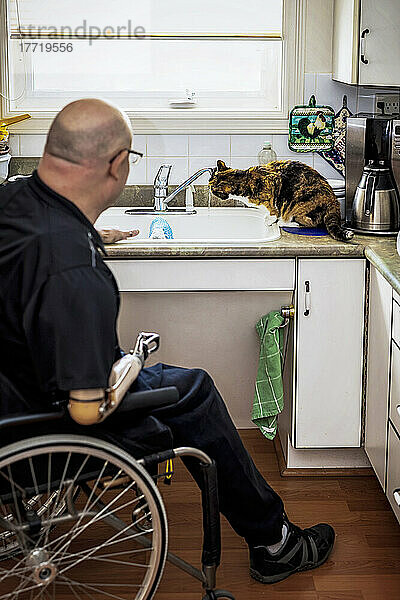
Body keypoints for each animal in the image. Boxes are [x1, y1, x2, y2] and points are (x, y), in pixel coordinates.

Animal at [209, 162, 354, 244]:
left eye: (212, 187)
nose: (208, 188)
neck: (244, 180)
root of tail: (333, 200)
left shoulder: (274, 182)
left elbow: (273, 210)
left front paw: (269, 219)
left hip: (298, 204)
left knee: (309, 223)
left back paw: (284, 222)